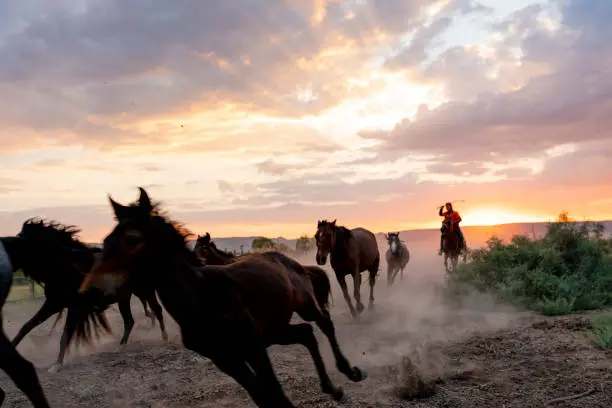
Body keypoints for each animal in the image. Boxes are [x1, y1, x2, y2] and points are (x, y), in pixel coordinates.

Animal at [7, 220, 170, 372]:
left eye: (20, 240)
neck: (67, 266)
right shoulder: (53, 303)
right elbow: (27, 326)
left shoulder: (74, 307)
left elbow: (65, 335)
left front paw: (57, 365)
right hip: (125, 298)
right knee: (130, 321)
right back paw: (120, 348)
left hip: (145, 291)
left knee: (157, 310)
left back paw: (164, 338)